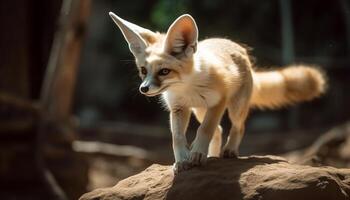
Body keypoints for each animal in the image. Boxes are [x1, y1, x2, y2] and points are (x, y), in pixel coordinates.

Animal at [108, 12, 326, 172]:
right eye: (143, 71)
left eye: (164, 72)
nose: (143, 89)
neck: (188, 87)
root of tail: (238, 47)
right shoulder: (179, 108)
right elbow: (177, 137)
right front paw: (182, 160)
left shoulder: (218, 103)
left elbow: (205, 129)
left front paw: (196, 153)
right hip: (199, 110)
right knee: (220, 130)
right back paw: (211, 155)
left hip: (234, 108)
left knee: (238, 127)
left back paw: (228, 150)